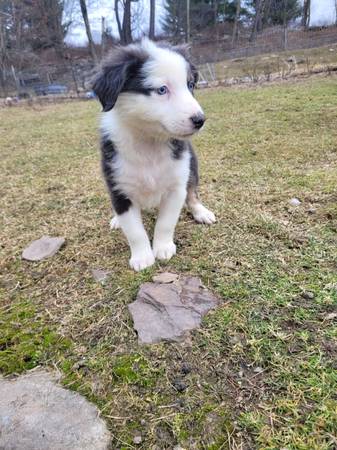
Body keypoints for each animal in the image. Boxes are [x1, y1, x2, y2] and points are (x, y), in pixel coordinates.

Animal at [92, 38, 215, 270]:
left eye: (190, 85)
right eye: (161, 90)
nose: (200, 120)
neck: (149, 141)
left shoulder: (176, 186)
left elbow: (166, 222)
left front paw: (163, 248)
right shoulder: (119, 188)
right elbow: (134, 230)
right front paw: (142, 257)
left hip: (192, 166)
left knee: (192, 192)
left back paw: (201, 212)